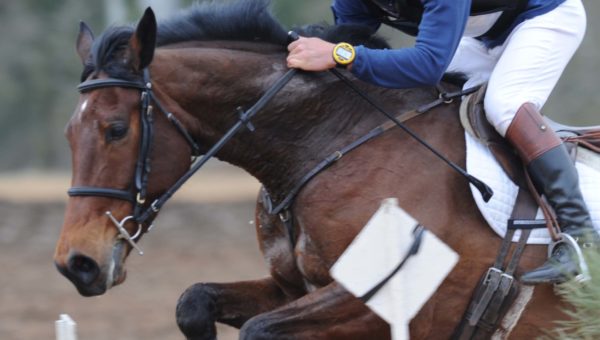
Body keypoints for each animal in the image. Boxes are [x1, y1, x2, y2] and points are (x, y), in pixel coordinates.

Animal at [55, 1, 572, 338]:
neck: (328, 140)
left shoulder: (390, 304)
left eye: (116, 130)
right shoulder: (292, 288)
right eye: (69, 134)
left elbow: (259, 330)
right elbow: (194, 302)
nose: (76, 264)